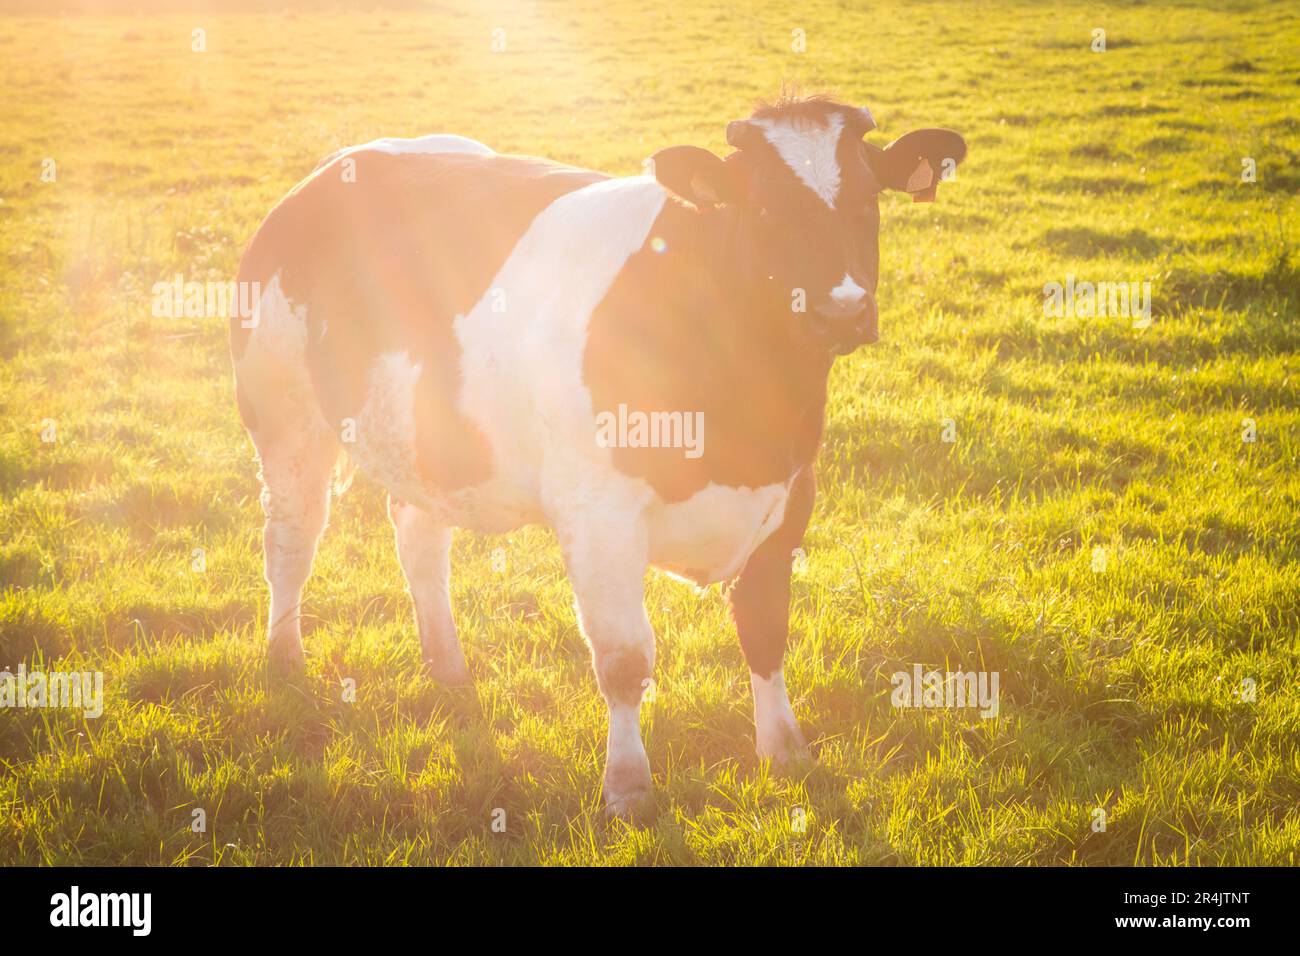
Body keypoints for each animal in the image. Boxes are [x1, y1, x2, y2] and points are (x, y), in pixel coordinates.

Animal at [231, 95, 967, 816]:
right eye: (761, 208)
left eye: (869, 199)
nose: (841, 310)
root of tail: (338, 163)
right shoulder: (598, 512)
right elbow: (623, 658)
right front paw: (628, 786)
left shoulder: (790, 492)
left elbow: (764, 629)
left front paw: (786, 752)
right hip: (285, 414)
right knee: (291, 540)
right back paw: (285, 663)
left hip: (426, 437)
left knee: (418, 539)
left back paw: (449, 668)